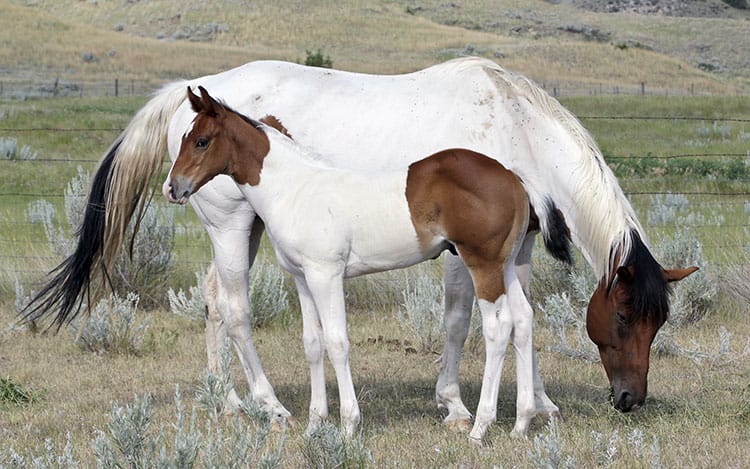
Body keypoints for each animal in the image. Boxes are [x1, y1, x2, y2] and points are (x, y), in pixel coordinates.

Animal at [22, 57, 700, 436]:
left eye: (658, 322)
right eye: (623, 315)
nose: (630, 400)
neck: (512, 121)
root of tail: (187, 92)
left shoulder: (517, 249)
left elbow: (524, 318)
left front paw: (538, 405)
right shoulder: (462, 256)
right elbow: (462, 322)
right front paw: (456, 406)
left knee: (213, 303)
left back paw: (227, 401)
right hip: (232, 227)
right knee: (235, 309)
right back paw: (266, 406)